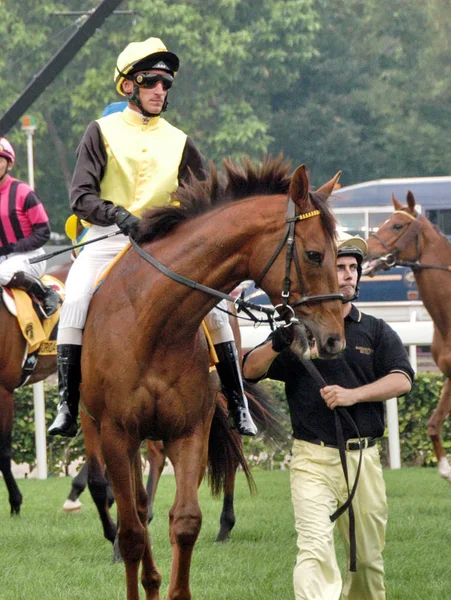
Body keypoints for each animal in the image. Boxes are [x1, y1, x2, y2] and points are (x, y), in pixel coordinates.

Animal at [79, 158, 344, 600]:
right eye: (314, 254)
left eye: (339, 254)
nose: (335, 338)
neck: (153, 322)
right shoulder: (117, 433)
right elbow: (131, 532)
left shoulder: (189, 430)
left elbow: (185, 521)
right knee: (134, 509)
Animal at [368, 192, 451, 482]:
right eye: (385, 220)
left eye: (396, 226)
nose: (365, 247)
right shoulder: (450, 375)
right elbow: (434, 424)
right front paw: (445, 469)